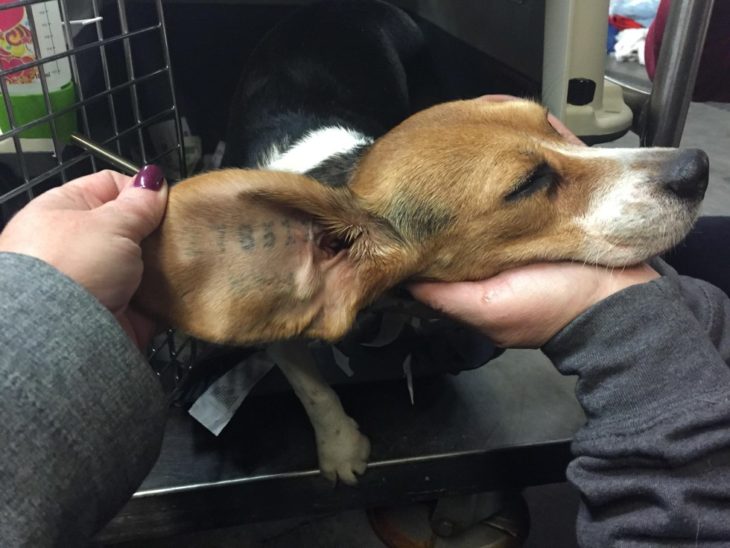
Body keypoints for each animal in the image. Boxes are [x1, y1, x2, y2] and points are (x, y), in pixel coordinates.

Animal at [131, 1, 704, 484]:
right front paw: (340, 448)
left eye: (550, 125)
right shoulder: (285, 324)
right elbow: (312, 388)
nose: (696, 167)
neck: (342, 170)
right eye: (525, 185)